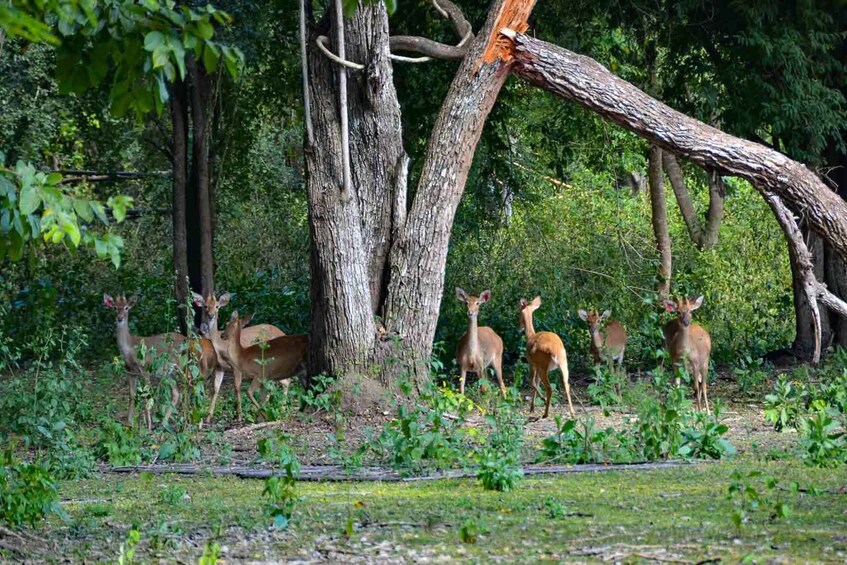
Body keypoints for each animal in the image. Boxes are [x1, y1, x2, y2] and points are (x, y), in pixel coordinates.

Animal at [193, 291, 285, 422]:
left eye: (217, 306)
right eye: (205, 306)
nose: (211, 315)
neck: (220, 346)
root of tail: (283, 332)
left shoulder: (236, 367)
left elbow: (237, 387)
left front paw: (240, 415)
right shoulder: (220, 367)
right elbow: (216, 388)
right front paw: (208, 416)